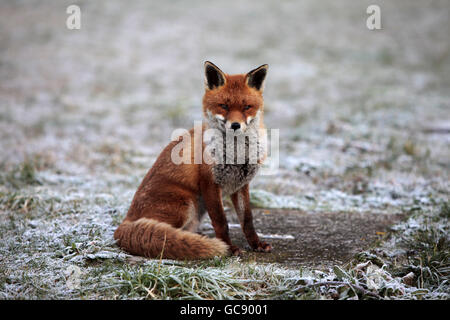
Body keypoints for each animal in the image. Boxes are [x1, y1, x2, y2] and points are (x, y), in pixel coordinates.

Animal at [114, 61, 272, 258]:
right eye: (224, 106)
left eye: (247, 107)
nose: (235, 125)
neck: (237, 152)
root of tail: (124, 222)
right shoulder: (210, 183)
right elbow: (221, 222)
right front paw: (229, 247)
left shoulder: (241, 185)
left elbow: (247, 221)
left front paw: (256, 244)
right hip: (187, 204)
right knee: (164, 233)